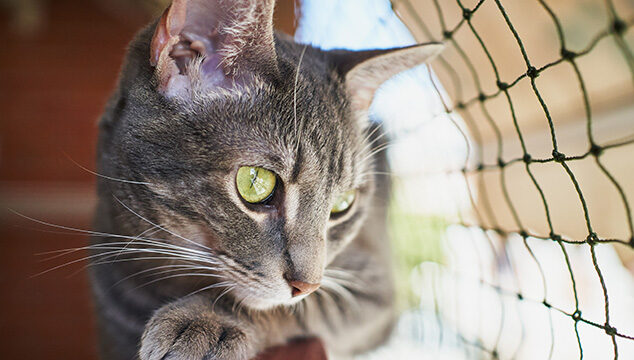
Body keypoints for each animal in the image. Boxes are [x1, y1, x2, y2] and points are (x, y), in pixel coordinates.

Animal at [89, 0, 440, 360]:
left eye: (342, 205)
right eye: (255, 183)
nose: (307, 285)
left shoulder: (373, 286)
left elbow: (296, 309)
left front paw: (206, 320)